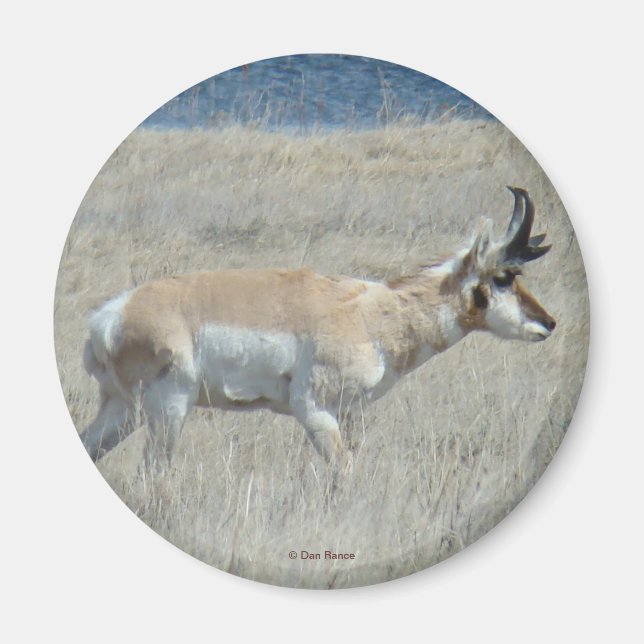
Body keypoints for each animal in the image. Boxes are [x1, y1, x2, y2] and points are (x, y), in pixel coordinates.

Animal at [81, 187, 555, 470]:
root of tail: (111, 315)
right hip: (168, 410)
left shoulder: (349, 412)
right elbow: (341, 474)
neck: (371, 312)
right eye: (503, 277)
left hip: (124, 411)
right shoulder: (316, 412)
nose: (549, 323)